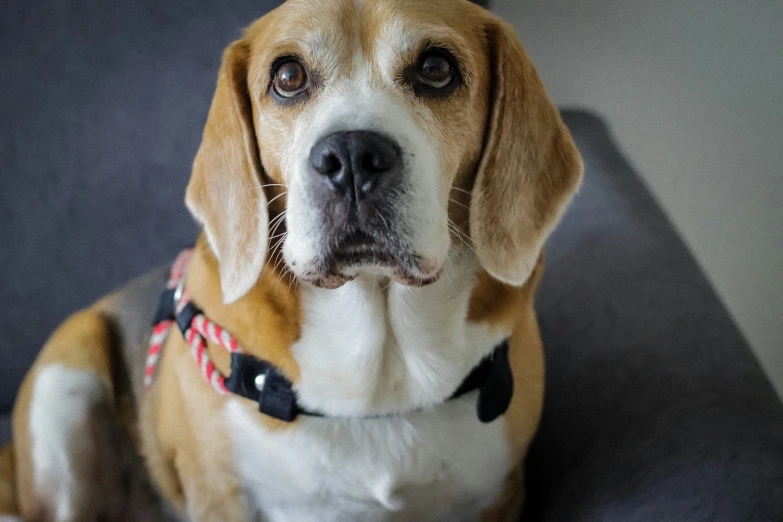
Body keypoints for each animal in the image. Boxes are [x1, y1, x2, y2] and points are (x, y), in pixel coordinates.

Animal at [0, 0, 580, 516]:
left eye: (436, 69)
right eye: (288, 76)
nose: (352, 156)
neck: (377, 370)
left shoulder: (499, 497)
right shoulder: (221, 497)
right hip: (66, 375)